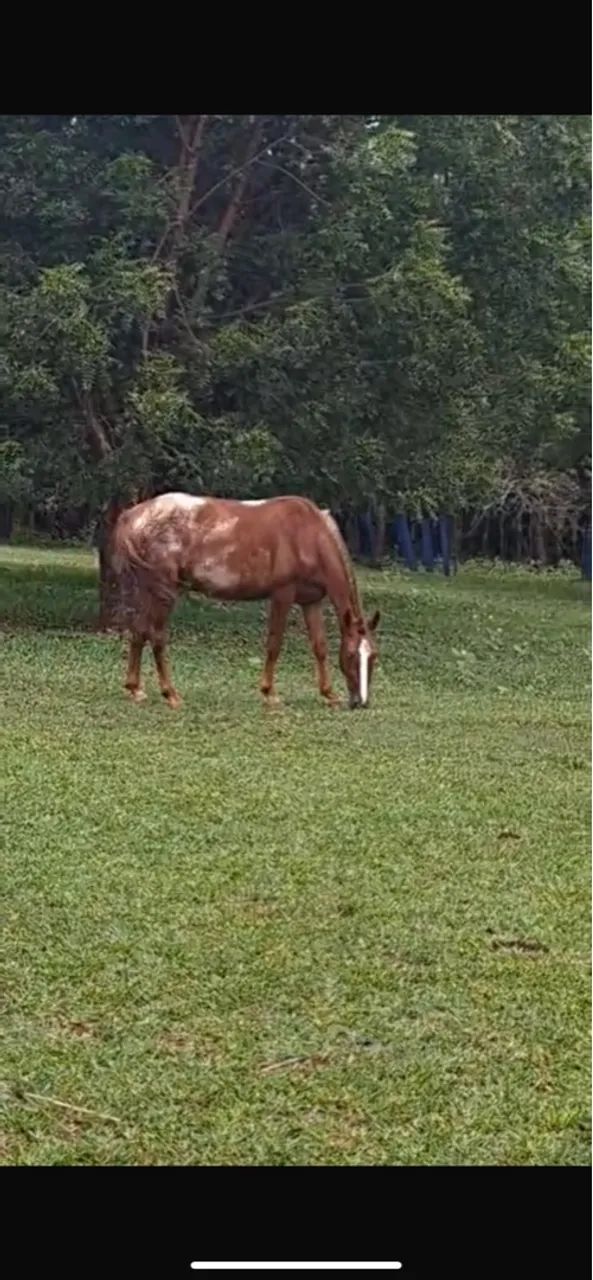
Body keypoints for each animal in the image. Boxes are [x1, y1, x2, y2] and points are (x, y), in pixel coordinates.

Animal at [109, 492, 380, 710]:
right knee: (156, 636)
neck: (308, 535)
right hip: (164, 591)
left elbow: (320, 646)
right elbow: (274, 643)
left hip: (146, 590)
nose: (361, 702)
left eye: (373, 657)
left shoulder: (310, 601)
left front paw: (328, 693)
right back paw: (170, 694)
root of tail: (134, 516)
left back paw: (135, 688)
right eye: (352, 656)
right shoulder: (282, 595)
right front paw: (269, 693)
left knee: (139, 631)